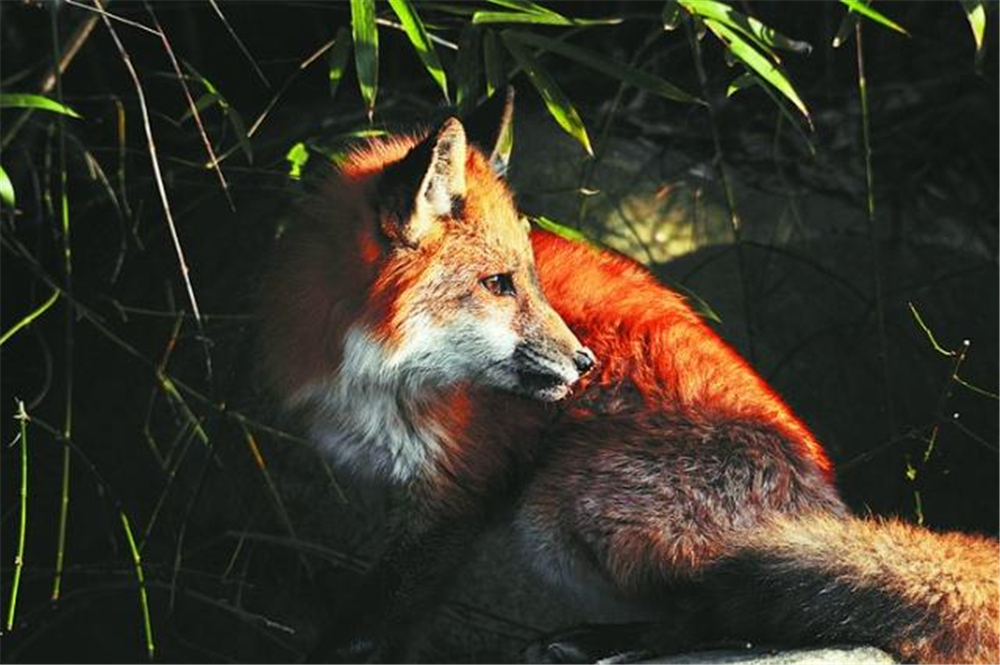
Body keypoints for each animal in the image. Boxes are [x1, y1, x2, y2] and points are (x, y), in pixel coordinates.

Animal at [260, 94, 1000, 664]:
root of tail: (824, 498)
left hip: (557, 509)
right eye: (498, 284)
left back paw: (607, 642)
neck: (372, 371)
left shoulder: (458, 493)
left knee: (728, 611)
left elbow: (368, 623)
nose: (585, 362)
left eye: (528, 278)